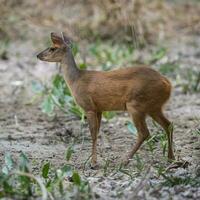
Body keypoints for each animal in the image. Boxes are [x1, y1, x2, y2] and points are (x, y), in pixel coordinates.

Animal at [37, 32, 175, 169]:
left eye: (52, 48)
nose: (38, 55)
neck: (76, 80)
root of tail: (167, 83)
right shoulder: (99, 109)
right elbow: (97, 132)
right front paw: (94, 160)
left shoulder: (88, 107)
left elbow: (92, 134)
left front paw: (93, 163)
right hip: (153, 107)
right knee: (168, 124)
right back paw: (171, 158)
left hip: (136, 105)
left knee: (144, 132)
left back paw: (124, 161)